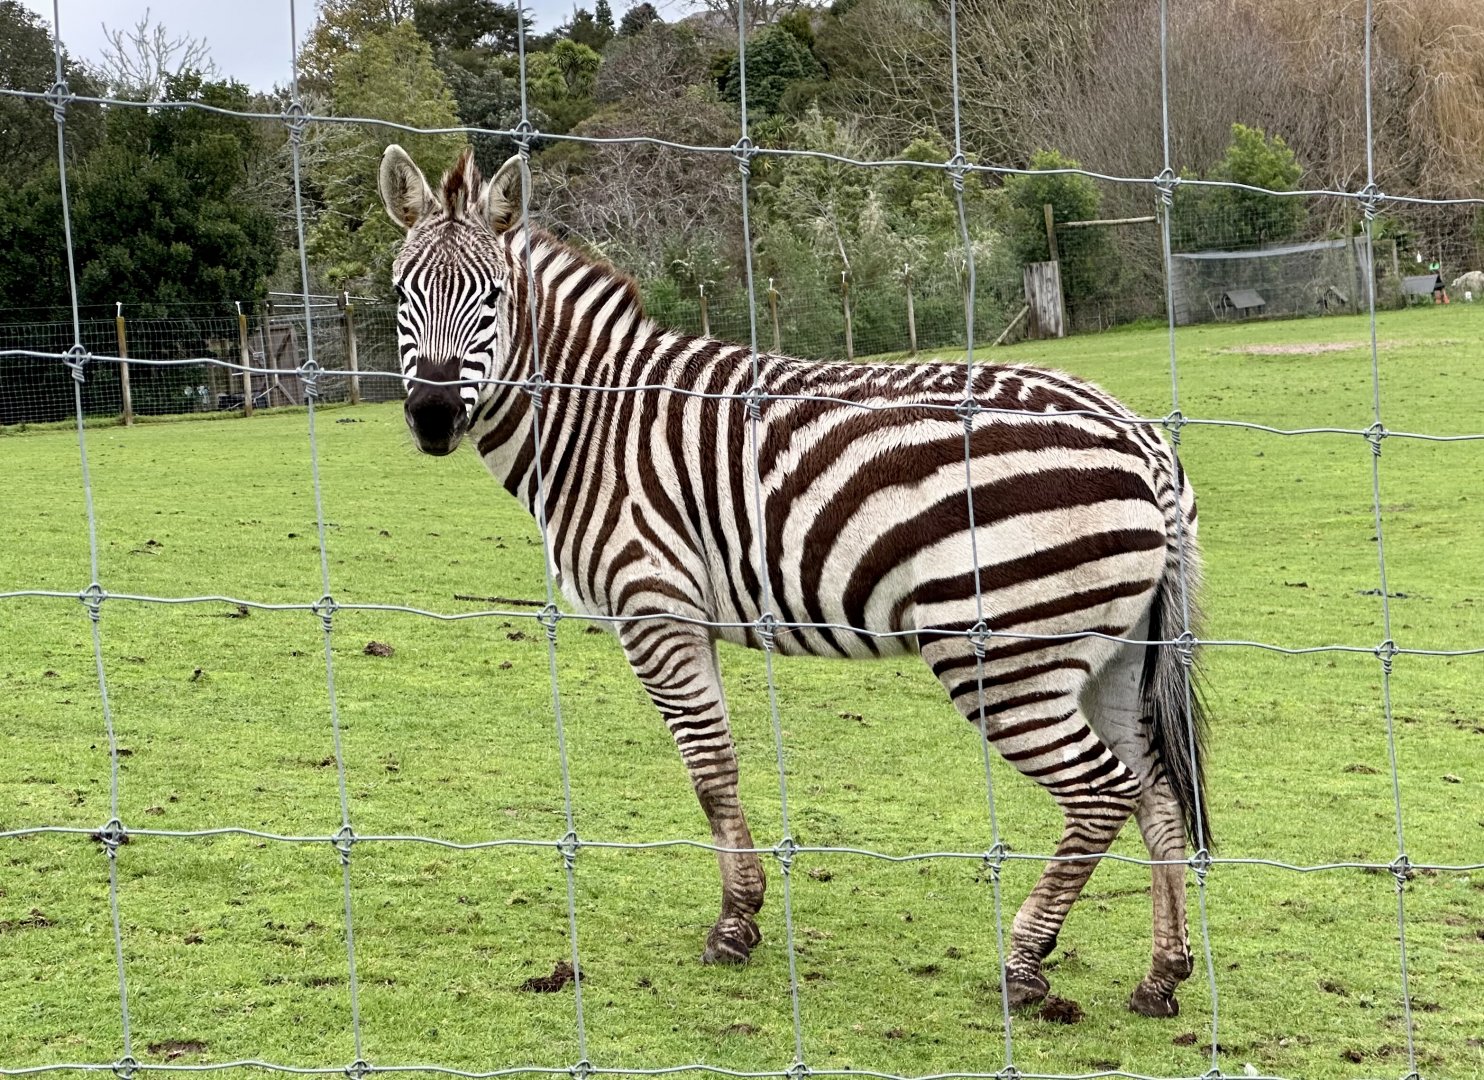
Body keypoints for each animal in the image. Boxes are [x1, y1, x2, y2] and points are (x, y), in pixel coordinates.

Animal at [378, 144, 1211, 1019]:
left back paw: (1023, 963)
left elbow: (709, 768)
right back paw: (1161, 974)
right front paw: (741, 913)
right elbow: (719, 764)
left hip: (1004, 656)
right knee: (1155, 792)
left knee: (1102, 792)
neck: (595, 424)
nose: (432, 417)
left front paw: (734, 925)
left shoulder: (654, 610)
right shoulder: (687, 619)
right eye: (400, 295)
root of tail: (1138, 435)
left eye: (493, 299)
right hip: (1117, 652)